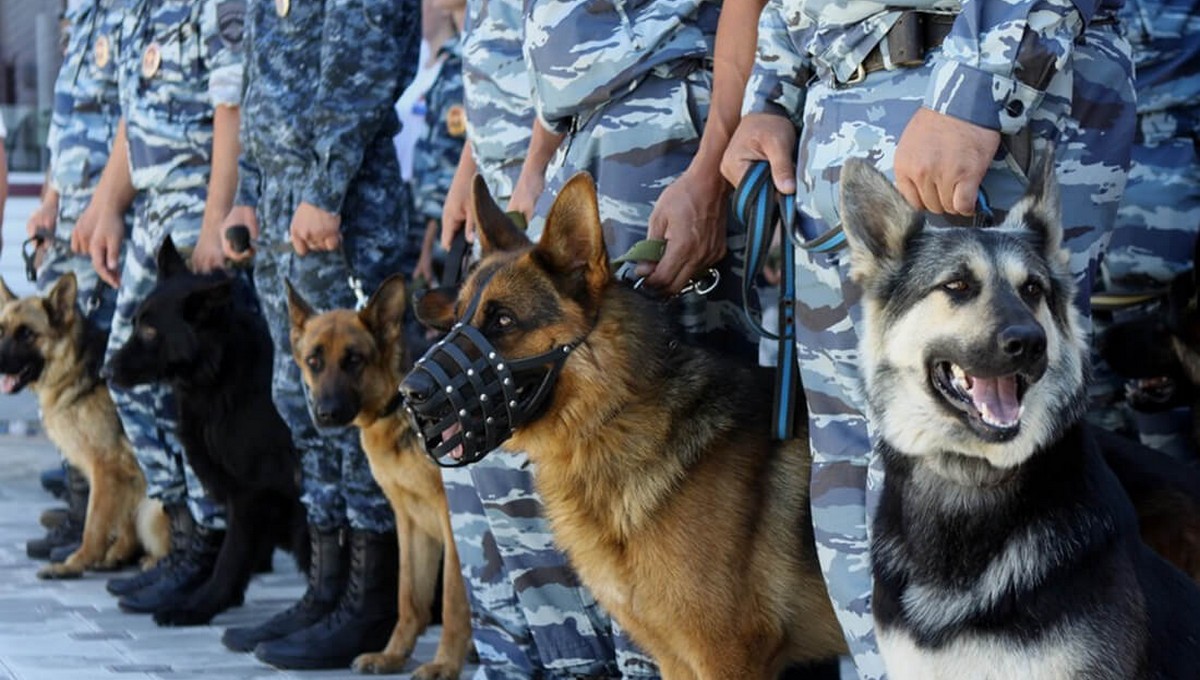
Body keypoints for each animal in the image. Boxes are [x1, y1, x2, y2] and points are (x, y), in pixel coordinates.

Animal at [0, 274, 169, 578]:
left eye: (27, 334)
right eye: (1, 331)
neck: (73, 368)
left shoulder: (107, 466)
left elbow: (94, 525)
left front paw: (75, 564)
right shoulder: (124, 471)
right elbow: (121, 519)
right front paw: (115, 555)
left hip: (154, 511)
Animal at [109, 238, 309, 628]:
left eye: (150, 332)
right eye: (135, 322)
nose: (107, 369)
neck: (221, 373)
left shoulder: (252, 493)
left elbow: (231, 557)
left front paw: (197, 606)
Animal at [286, 277, 472, 680]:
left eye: (354, 360)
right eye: (314, 362)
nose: (326, 414)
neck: (400, 404)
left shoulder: (454, 522)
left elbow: (453, 601)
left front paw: (445, 664)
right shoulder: (410, 519)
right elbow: (409, 596)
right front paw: (393, 655)